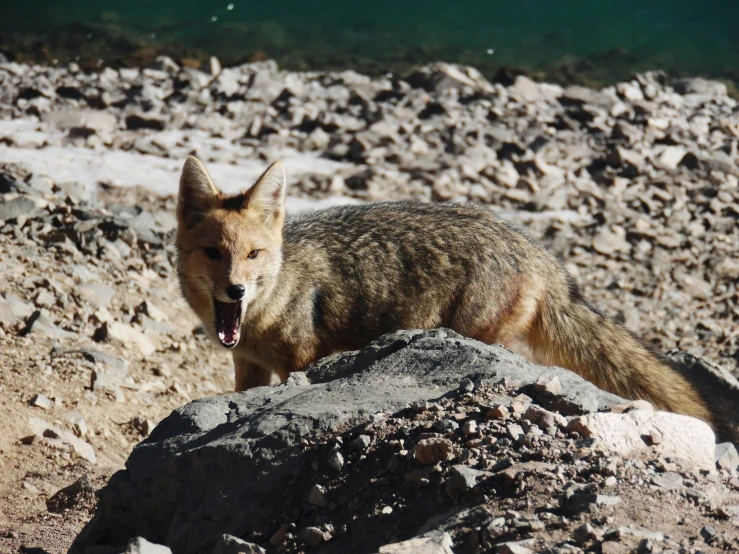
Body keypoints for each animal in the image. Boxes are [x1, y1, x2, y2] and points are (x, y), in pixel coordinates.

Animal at [178, 155, 724, 436]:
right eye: (213, 253)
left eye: (253, 254)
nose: (236, 288)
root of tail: (535, 250)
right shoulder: (247, 365)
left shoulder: (300, 360)